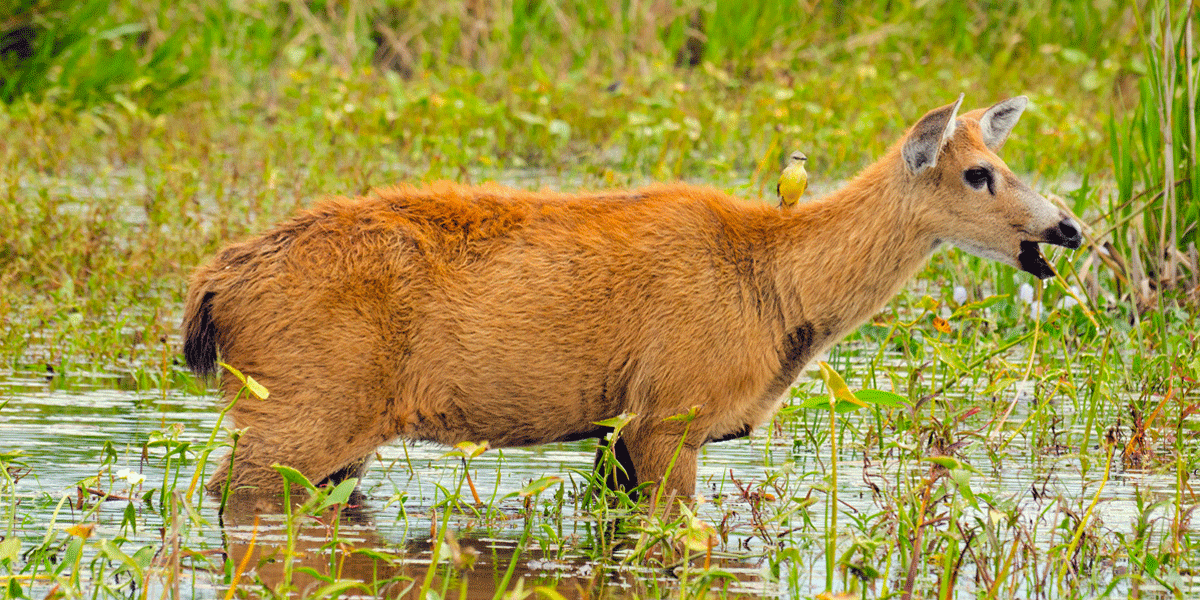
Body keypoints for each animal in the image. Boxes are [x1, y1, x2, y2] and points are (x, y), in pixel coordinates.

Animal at [183, 95, 1081, 501]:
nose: (1068, 228)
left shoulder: (620, 430)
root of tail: (214, 287)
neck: (779, 288)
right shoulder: (672, 412)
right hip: (303, 405)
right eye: (979, 173)